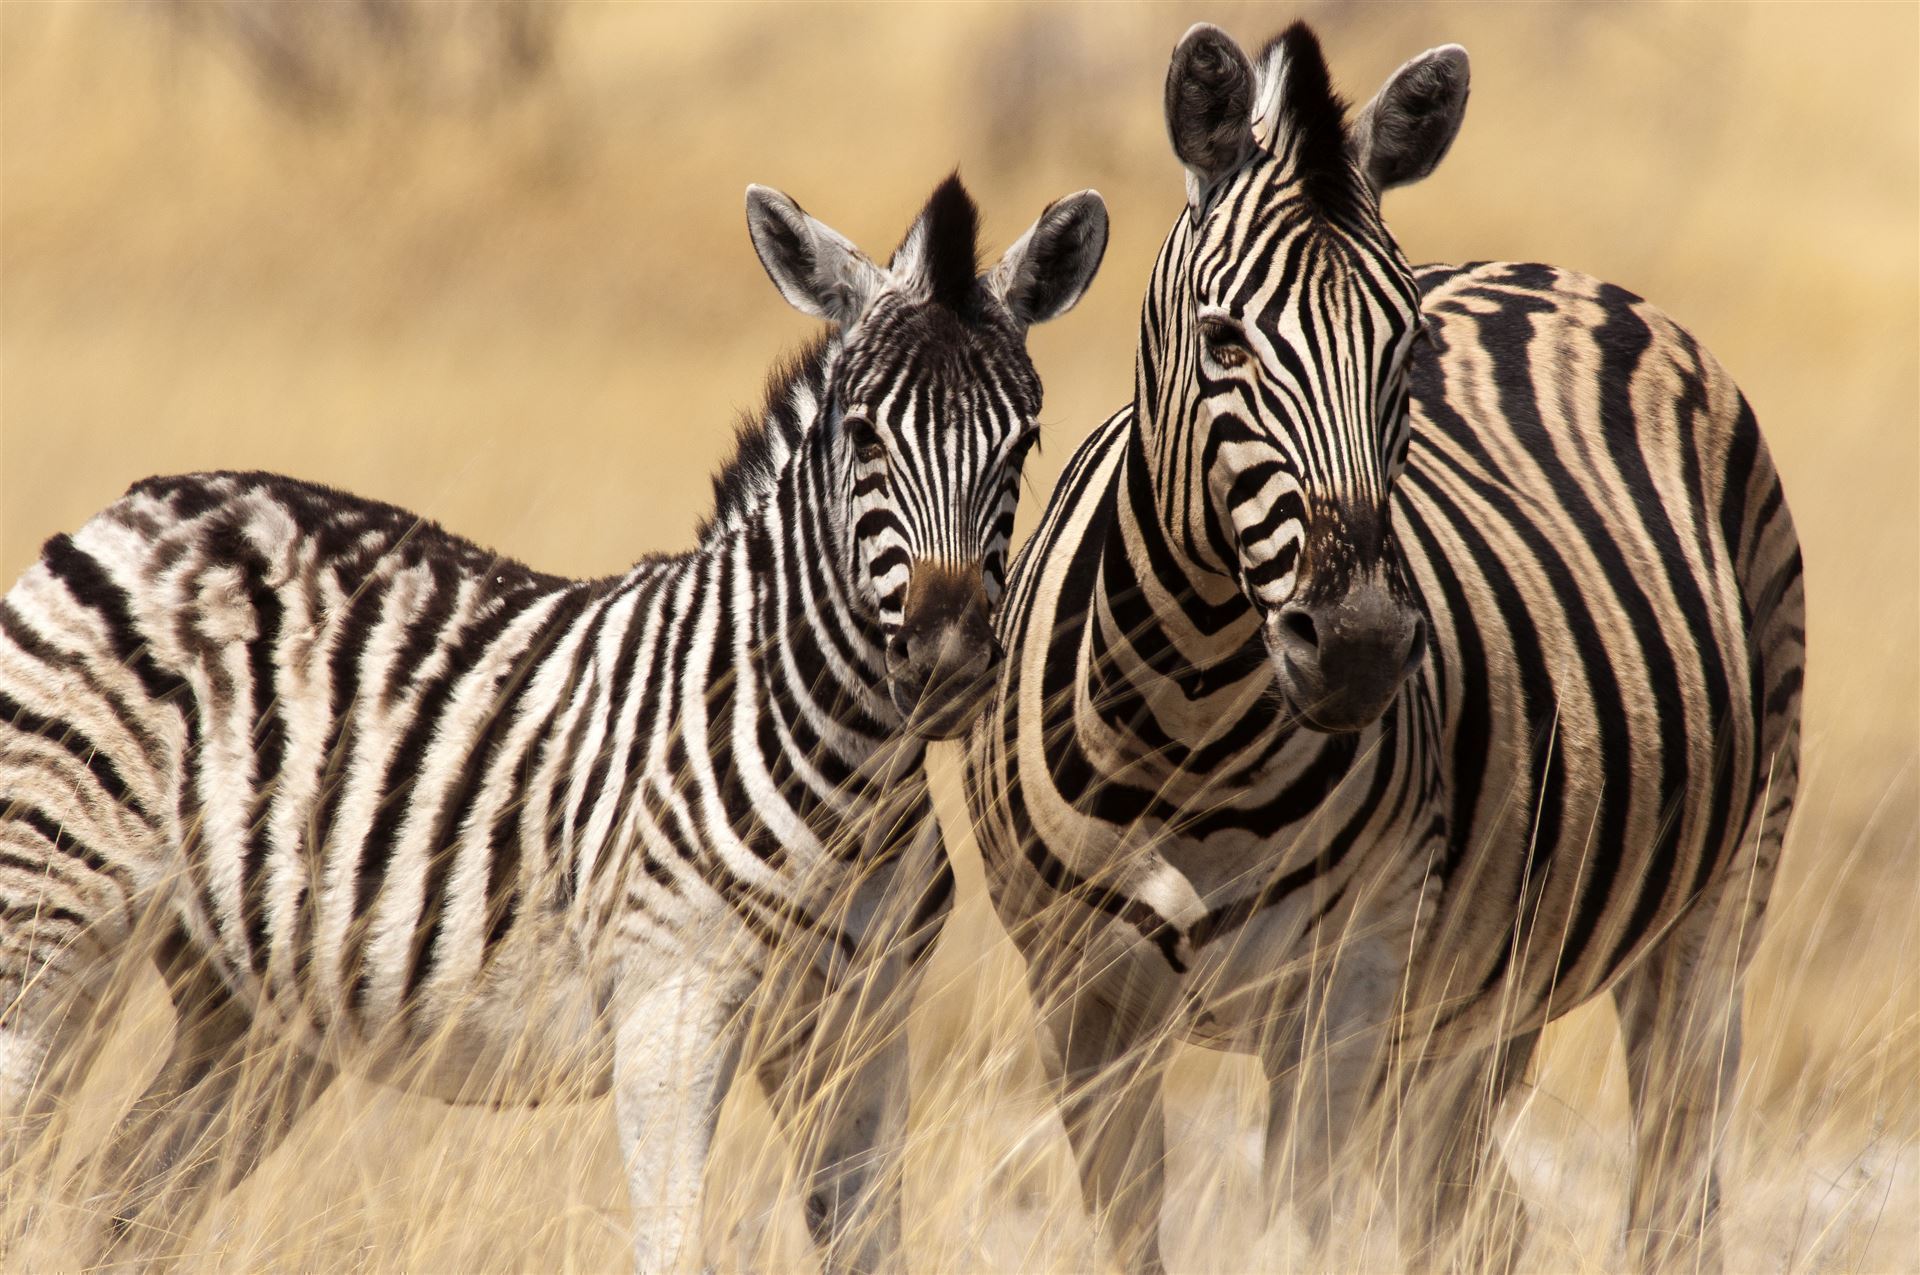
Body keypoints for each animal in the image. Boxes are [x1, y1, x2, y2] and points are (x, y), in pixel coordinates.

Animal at [0, 172, 1109, 1271]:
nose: (948, 660)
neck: (851, 773)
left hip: (250, 1006)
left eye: (1025, 444)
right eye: (863, 434)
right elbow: (675, 1246)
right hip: (56, 919)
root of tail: (143, 501)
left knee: (122, 1202)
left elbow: (870, 1244)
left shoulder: (860, 1031)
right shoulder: (670, 1010)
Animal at [962, 21, 1802, 1274]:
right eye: (1223, 340)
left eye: (1407, 347)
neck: (1189, 724)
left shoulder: (1342, 1000)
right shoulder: (1080, 1006)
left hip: (1712, 912)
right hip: (1475, 1006)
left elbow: (1292, 1235)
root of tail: (1558, 277)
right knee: (1482, 1212)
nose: (1358, 648)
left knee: (1673, 1191)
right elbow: (1135, 1232)